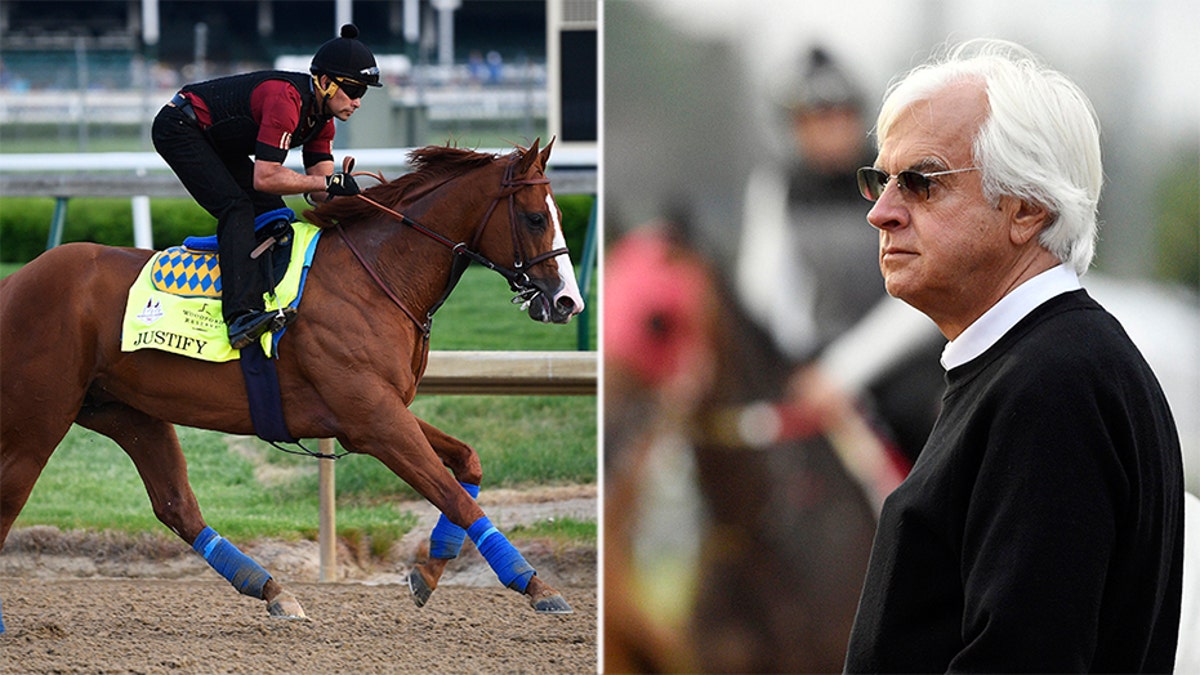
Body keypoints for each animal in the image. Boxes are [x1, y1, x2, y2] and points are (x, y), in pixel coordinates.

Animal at [0, 136, 583, 624]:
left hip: (124, 411)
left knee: (177, 507)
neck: (376, 276)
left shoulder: (378, 411)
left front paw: (431, 569)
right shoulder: (373, 420)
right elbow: (456, 497)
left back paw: (274, 592)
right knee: (13, 496)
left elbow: (467, 463)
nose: (567, 302)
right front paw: (537, 586)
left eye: (556, 214)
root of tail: (14, 281)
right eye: (535, 218)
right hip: (38, 417)